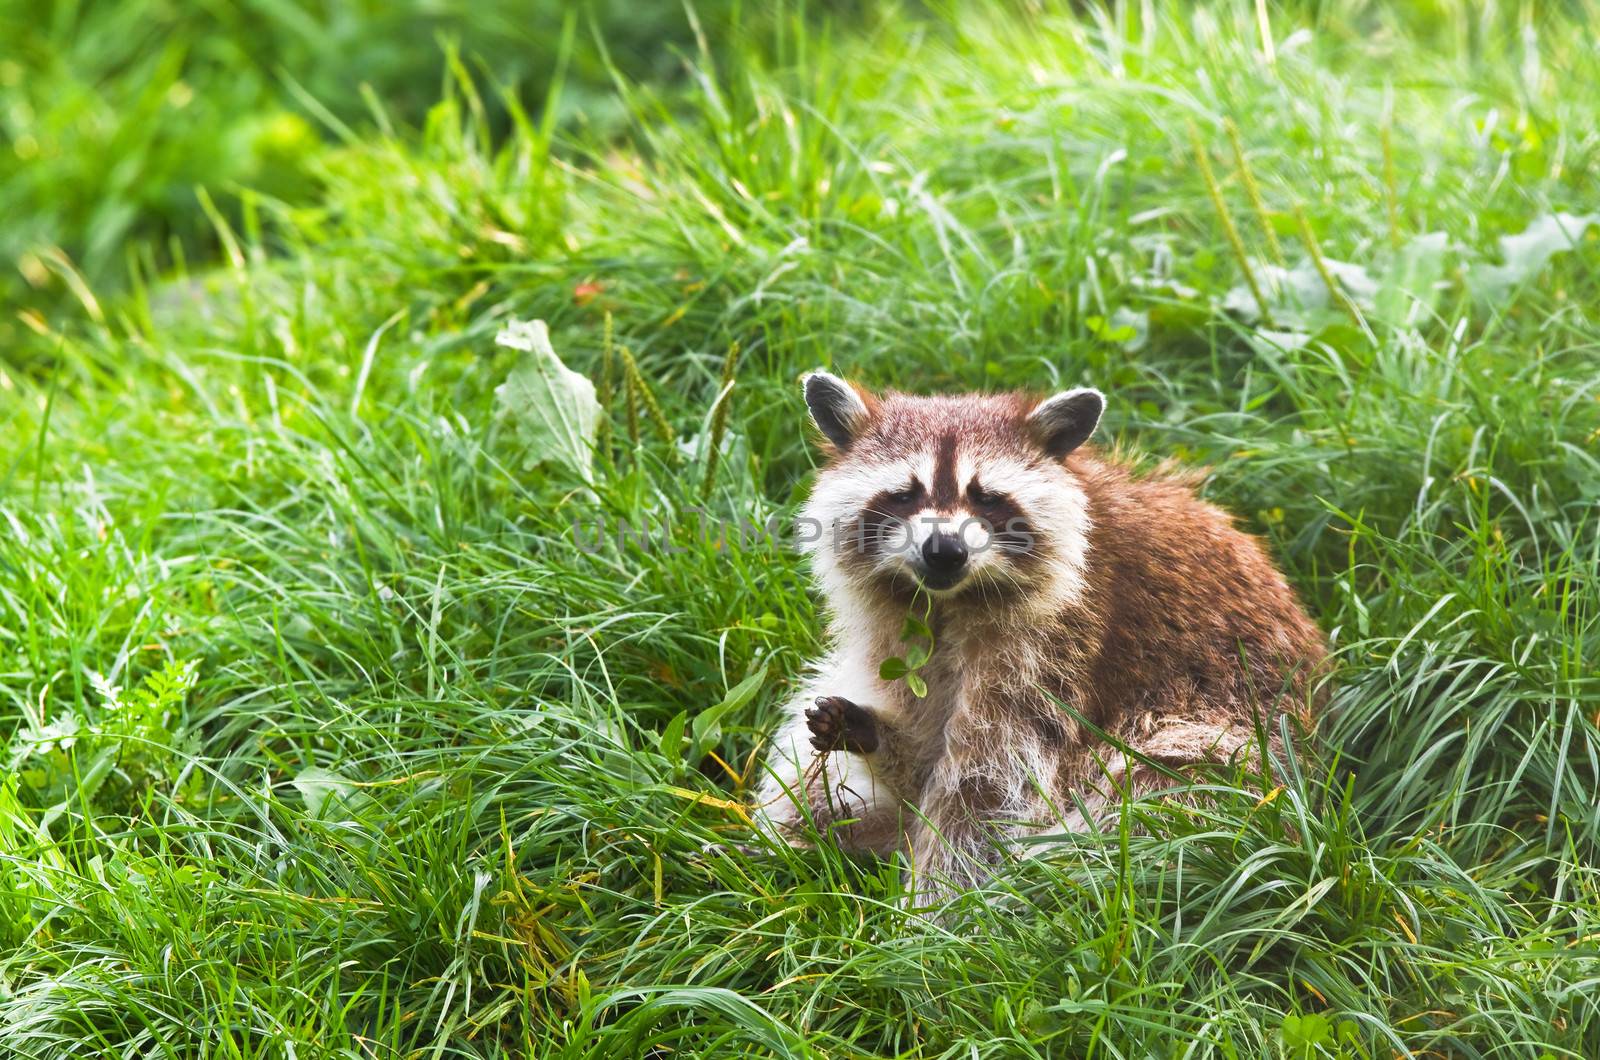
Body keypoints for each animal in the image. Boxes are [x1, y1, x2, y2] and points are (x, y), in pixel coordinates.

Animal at [755, 373, 1331, 903]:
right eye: (904, 494)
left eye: (987, 498)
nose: (944, 550)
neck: (948, 602)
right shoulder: (898, 636)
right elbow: (922, 756)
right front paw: (879, 742)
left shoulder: (1056, 651)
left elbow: (984, 788)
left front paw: (937, 913)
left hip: (1238, 749)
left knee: (1155, 799)